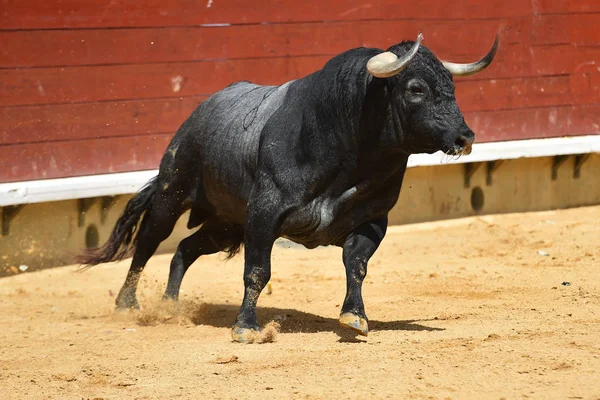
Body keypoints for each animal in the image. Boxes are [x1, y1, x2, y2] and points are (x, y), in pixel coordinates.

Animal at [78, 32, 496, 342]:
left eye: (451, 86)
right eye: (415, 89)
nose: (464, 137)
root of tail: (198, 113)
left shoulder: (374, 219)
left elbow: (356, 264)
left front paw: (355, 316)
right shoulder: (264, 214)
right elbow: (257, 271)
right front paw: (246, 328)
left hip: (225, 224)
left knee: (183, 249)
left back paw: (170, 306)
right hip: (173, 192)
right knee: (148, 244)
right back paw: (127, 305)